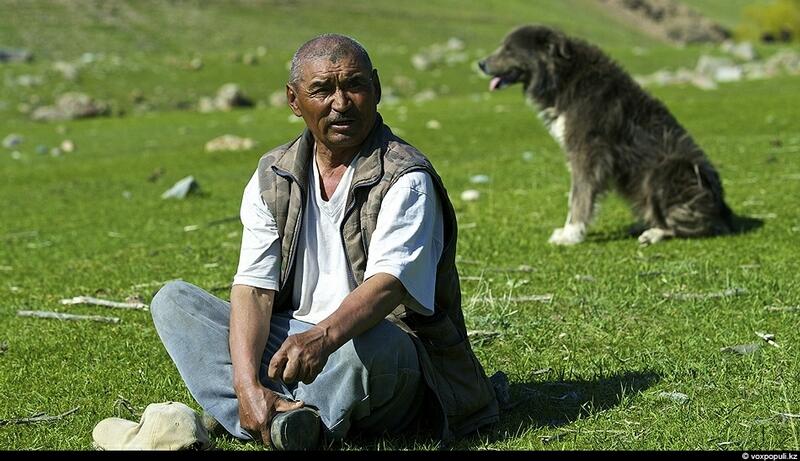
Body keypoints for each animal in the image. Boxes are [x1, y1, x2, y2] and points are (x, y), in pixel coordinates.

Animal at [478, 24, 736, 244]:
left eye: (509, 49)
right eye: (503, 46)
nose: (480, 64)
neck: (564, 76)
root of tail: (723, 210)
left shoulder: (588, 152)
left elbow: (579, 197)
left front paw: (571, 235)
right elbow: (577, 195)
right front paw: (570, 232)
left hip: (666, 171)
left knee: (695, 227)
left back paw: (654, 232)